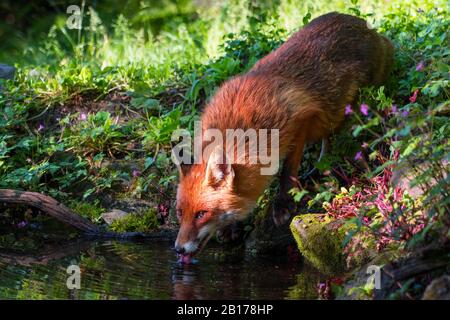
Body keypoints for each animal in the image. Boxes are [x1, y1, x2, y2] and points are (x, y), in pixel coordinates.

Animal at [174, 12, 392, 262]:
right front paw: (230, 228)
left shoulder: (299, 123)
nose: (178, 249)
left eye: (201, 214)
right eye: (180, 213)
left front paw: (283, 204)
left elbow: (288, 170)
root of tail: (361, 23)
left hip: (350, 107)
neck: (239, 129)